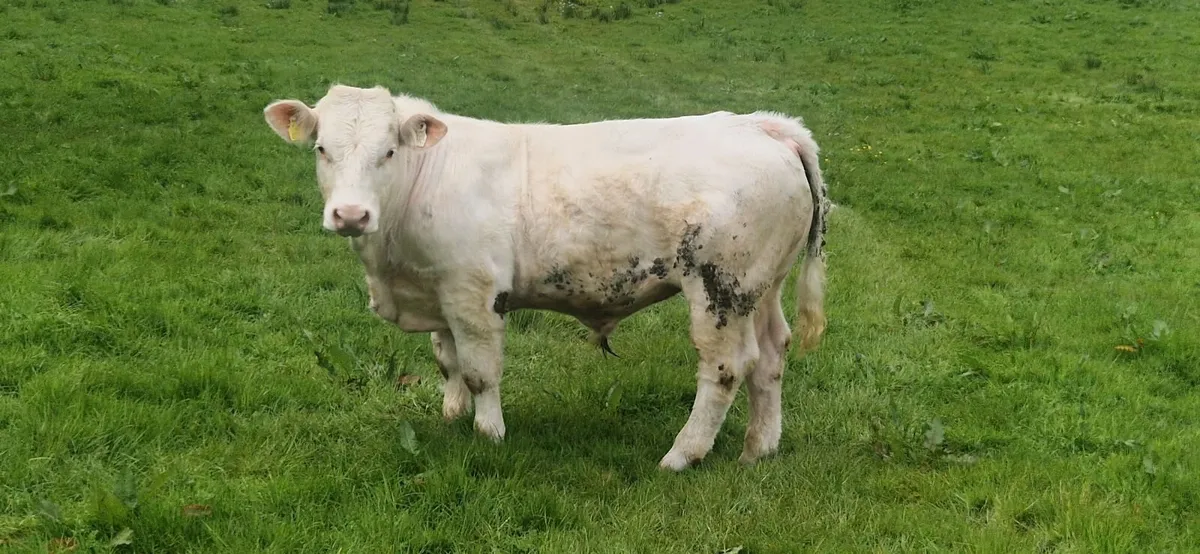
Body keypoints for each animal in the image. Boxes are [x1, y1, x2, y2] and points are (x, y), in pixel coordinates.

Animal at [262, 84, 830, 470]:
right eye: (321, 149)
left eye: (388, 151)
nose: (350, 214)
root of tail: (763, 125)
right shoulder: (438, 291)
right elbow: (447, 360)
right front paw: (451, 415)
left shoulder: (473, 293)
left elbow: (479, 370)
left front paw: (489, 434)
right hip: (762, 286)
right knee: (771, 355)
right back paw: (759, 448)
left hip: (720, 289)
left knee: (727, 368)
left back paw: (682, 454)